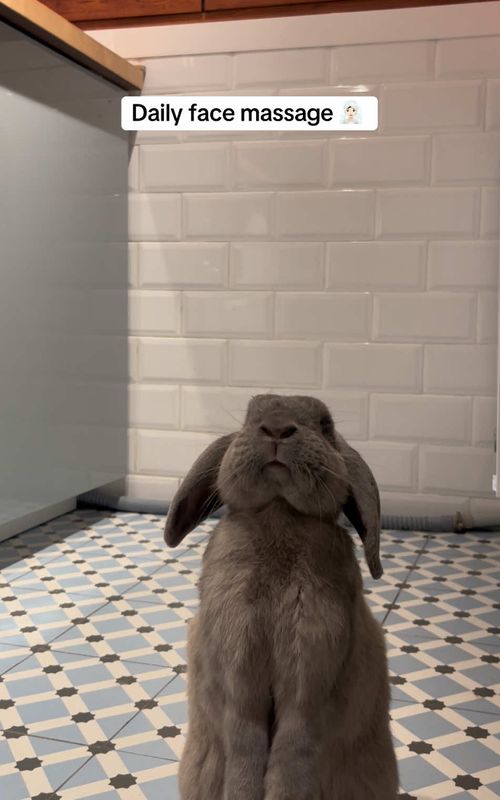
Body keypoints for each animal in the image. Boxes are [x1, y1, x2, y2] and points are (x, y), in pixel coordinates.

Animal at [164, 393, 399, 800]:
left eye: (325, 425)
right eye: (248, 416)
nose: (276, 428)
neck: (278, 514)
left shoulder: (311, 677)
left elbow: (292, 754)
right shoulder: (238, 675)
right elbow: (245, 745)